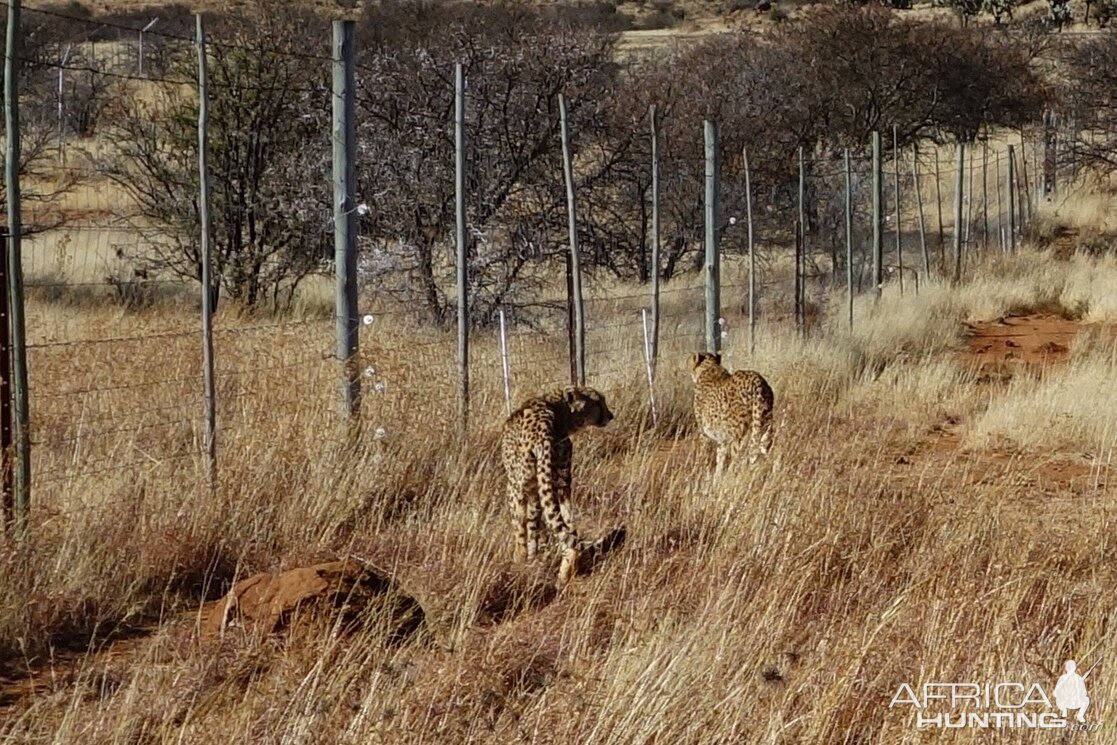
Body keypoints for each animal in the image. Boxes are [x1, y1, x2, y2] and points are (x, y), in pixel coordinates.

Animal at [502, 388, 616, 585]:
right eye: (597, 402)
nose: (610, 415)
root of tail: (543, 430)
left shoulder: (517, 488)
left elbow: (522, 525)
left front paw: (525, 558)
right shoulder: (547, 487)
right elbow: (539, 525)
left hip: (521, 486)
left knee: (524, 529)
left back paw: (519, 561)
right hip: (560, 485)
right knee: (570, 529)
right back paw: (564, 573)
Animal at [683, 352, 772, 480]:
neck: (709, 367)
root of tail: (758, 380)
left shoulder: (704, 432)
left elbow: (703, 456)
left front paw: (699, 475)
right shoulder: (722, 437)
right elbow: (720, 458)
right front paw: (716, 479)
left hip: (740, 435)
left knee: (738, 460)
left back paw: (730, 479)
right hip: (763, 427)